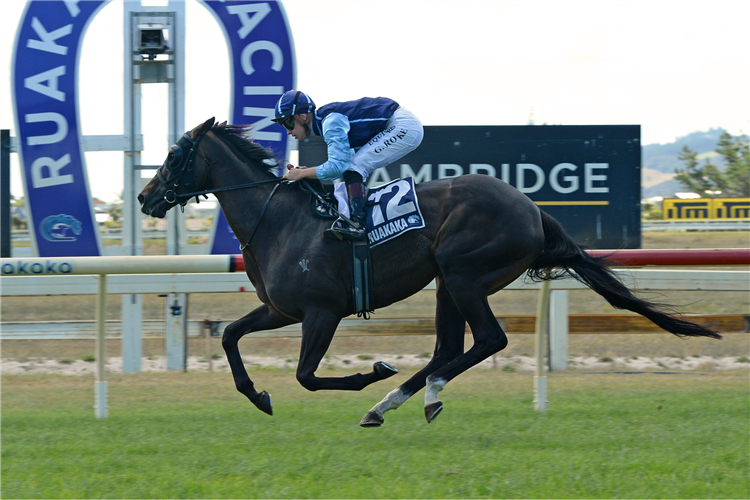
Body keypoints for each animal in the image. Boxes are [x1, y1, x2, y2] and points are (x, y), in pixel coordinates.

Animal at [140, 117, 724, 426]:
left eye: (174, 154)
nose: (145, 197)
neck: (280, 220)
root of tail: (533, 209)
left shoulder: (321, 311)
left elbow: (307, 375)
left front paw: (369, 372)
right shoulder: (280, 309)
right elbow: (230, 336)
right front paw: (258, 396)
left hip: (464, 274)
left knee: (486, 340)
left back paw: (413, 393)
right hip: (447, 281)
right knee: (449, 346)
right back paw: (393, 403)